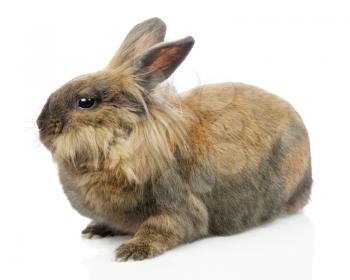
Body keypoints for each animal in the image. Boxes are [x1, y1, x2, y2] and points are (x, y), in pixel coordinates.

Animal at [37, 17, 312, 260]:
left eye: (86, 101)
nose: (41, 125)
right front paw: (94, 230)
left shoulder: (178, 208)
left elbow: (159, 228)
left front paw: (131, 251)